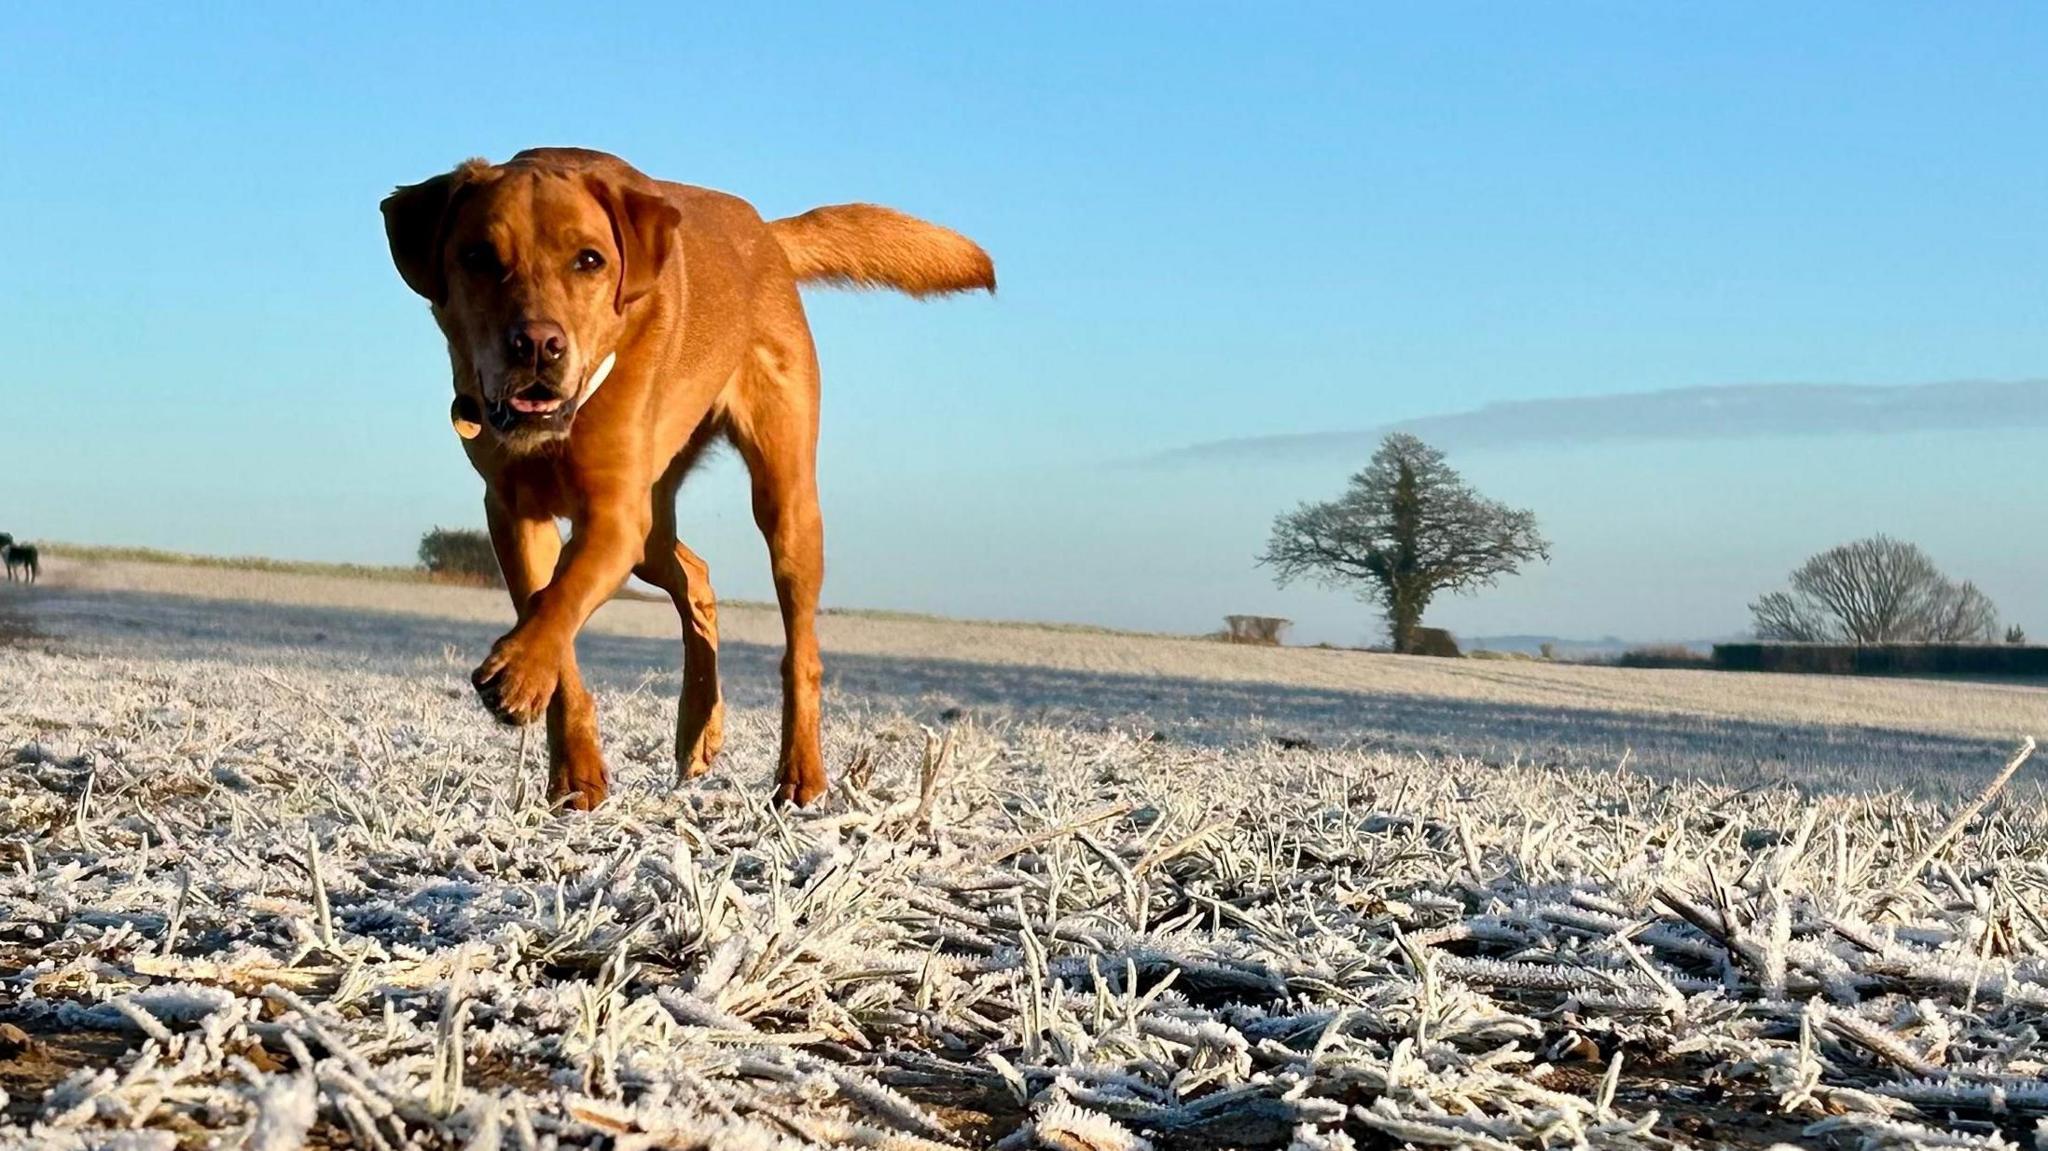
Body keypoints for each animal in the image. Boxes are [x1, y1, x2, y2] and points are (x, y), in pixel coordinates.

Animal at [385, 147, 999, 802]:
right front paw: (574, 768)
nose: (537, 345)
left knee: (798, 649)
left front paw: (520, 672)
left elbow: (562, 598)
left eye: (589, 260)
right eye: (478, 256)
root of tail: (766, 234)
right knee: (695, 577)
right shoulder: (515, 510)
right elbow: (550, 617)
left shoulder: (614, 516)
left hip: (784, 504)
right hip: (654, 525)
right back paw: (699, 726)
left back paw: (801, 774)